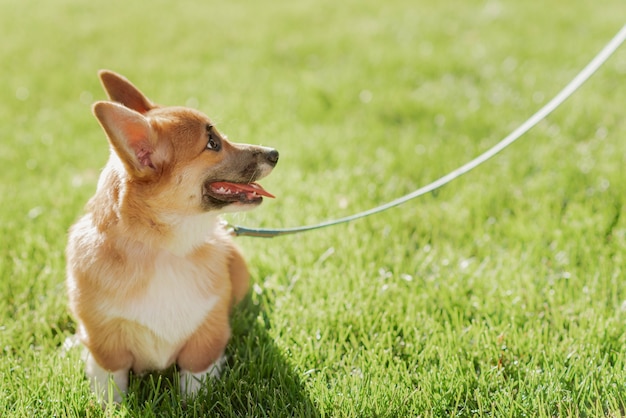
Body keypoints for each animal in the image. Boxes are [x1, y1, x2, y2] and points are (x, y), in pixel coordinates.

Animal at [65, 70, 276, 404]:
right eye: (213, 143)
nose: (275, 153)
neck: (164, 250)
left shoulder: (207, 332)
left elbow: (197, 374)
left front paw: (195, 403)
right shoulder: (104, 338)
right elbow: (110, 379)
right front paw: (109, 405)